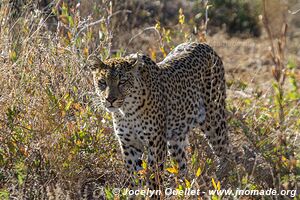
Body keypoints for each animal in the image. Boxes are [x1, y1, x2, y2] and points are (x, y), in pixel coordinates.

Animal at [90, 41, 231, 189]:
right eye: (102, 82)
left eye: (122, 81)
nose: (110, 99)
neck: (126, 112)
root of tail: (202, 44)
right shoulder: (129, 144)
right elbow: (132, 176)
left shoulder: (156, 143)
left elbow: (154, 175)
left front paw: (154, 191)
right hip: (176, 139)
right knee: (182, 164)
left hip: (214, 120)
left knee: (226, 152)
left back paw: (222, 179)